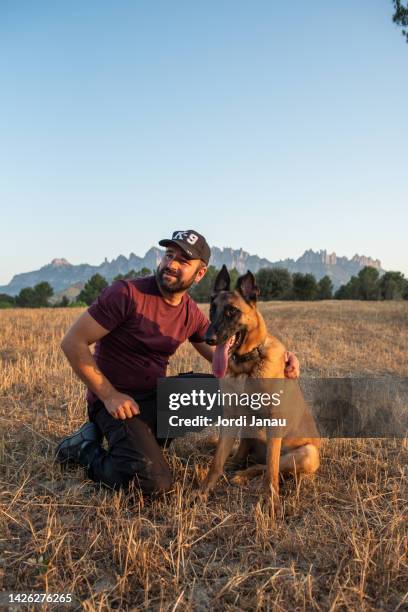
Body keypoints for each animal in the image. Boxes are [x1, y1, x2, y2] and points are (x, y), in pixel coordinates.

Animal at [199, 264, 320, 506]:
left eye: (231, 311)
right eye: (212, 309)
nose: (208, 338)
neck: (247, 365)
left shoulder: (274, 421)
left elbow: (271, 468)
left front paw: (269, 499)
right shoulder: (231, 417)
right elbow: (216, 462)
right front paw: (202, 492)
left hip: (306, 454)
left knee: (266, 465)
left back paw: (243, 475)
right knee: (246, 455)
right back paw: (235, 465)